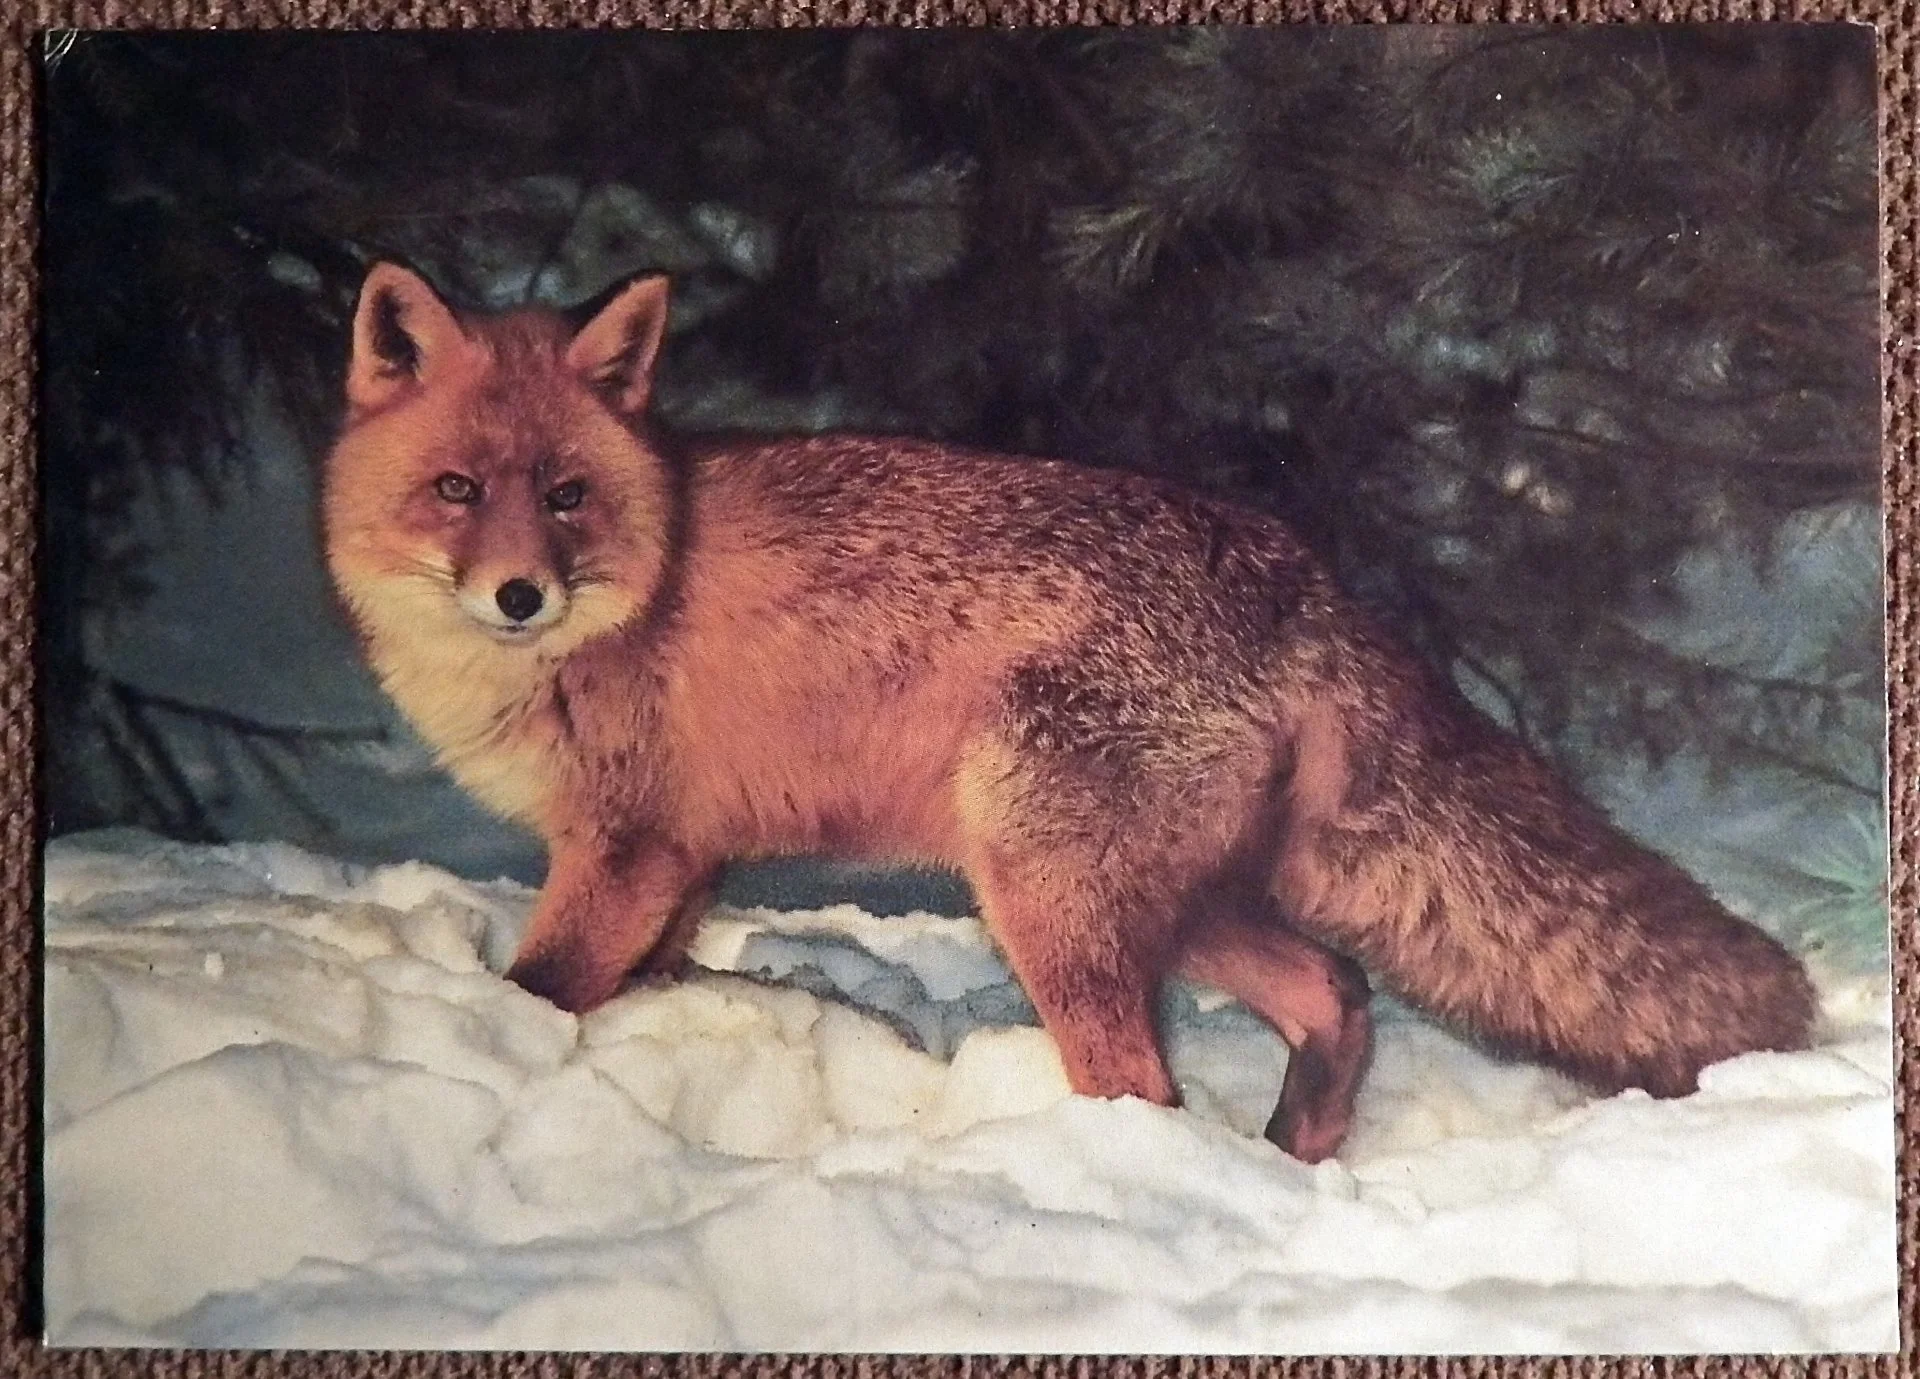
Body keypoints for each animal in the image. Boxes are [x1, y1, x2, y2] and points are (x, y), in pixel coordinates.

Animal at [322, 261, 1818, 1164]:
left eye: (567, 495)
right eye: (458, 490)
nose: (518, 593)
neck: (639, 583)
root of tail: (1297, 569)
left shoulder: (625, 844)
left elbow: (540, 989)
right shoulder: (686, 855)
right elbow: (639, 976)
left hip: (1045, 897)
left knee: (1147, 1083)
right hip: (1170, 899)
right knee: (1334, 990)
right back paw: (1287, 1160)